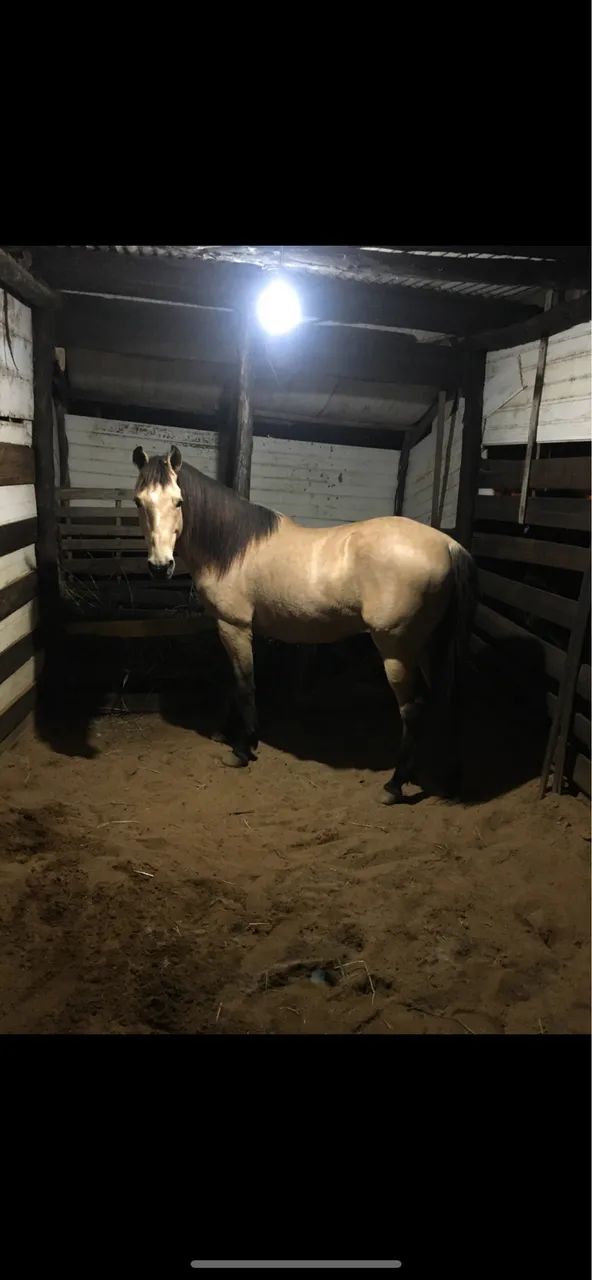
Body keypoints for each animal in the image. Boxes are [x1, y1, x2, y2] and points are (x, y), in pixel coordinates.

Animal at [132, 445, 478, 804]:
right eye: (139, 501)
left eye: (178, 501)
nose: (160, 567)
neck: (232, 548)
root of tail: (448, 544)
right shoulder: (229, 627)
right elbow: (234, 680)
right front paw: (225, 733)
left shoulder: (234, 626)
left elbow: (244, 684)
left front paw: (243, 748)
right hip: (430, 646)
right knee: (450, 698)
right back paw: (449, 778)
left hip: (397, 650)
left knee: (413, 709)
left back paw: (395, 785)